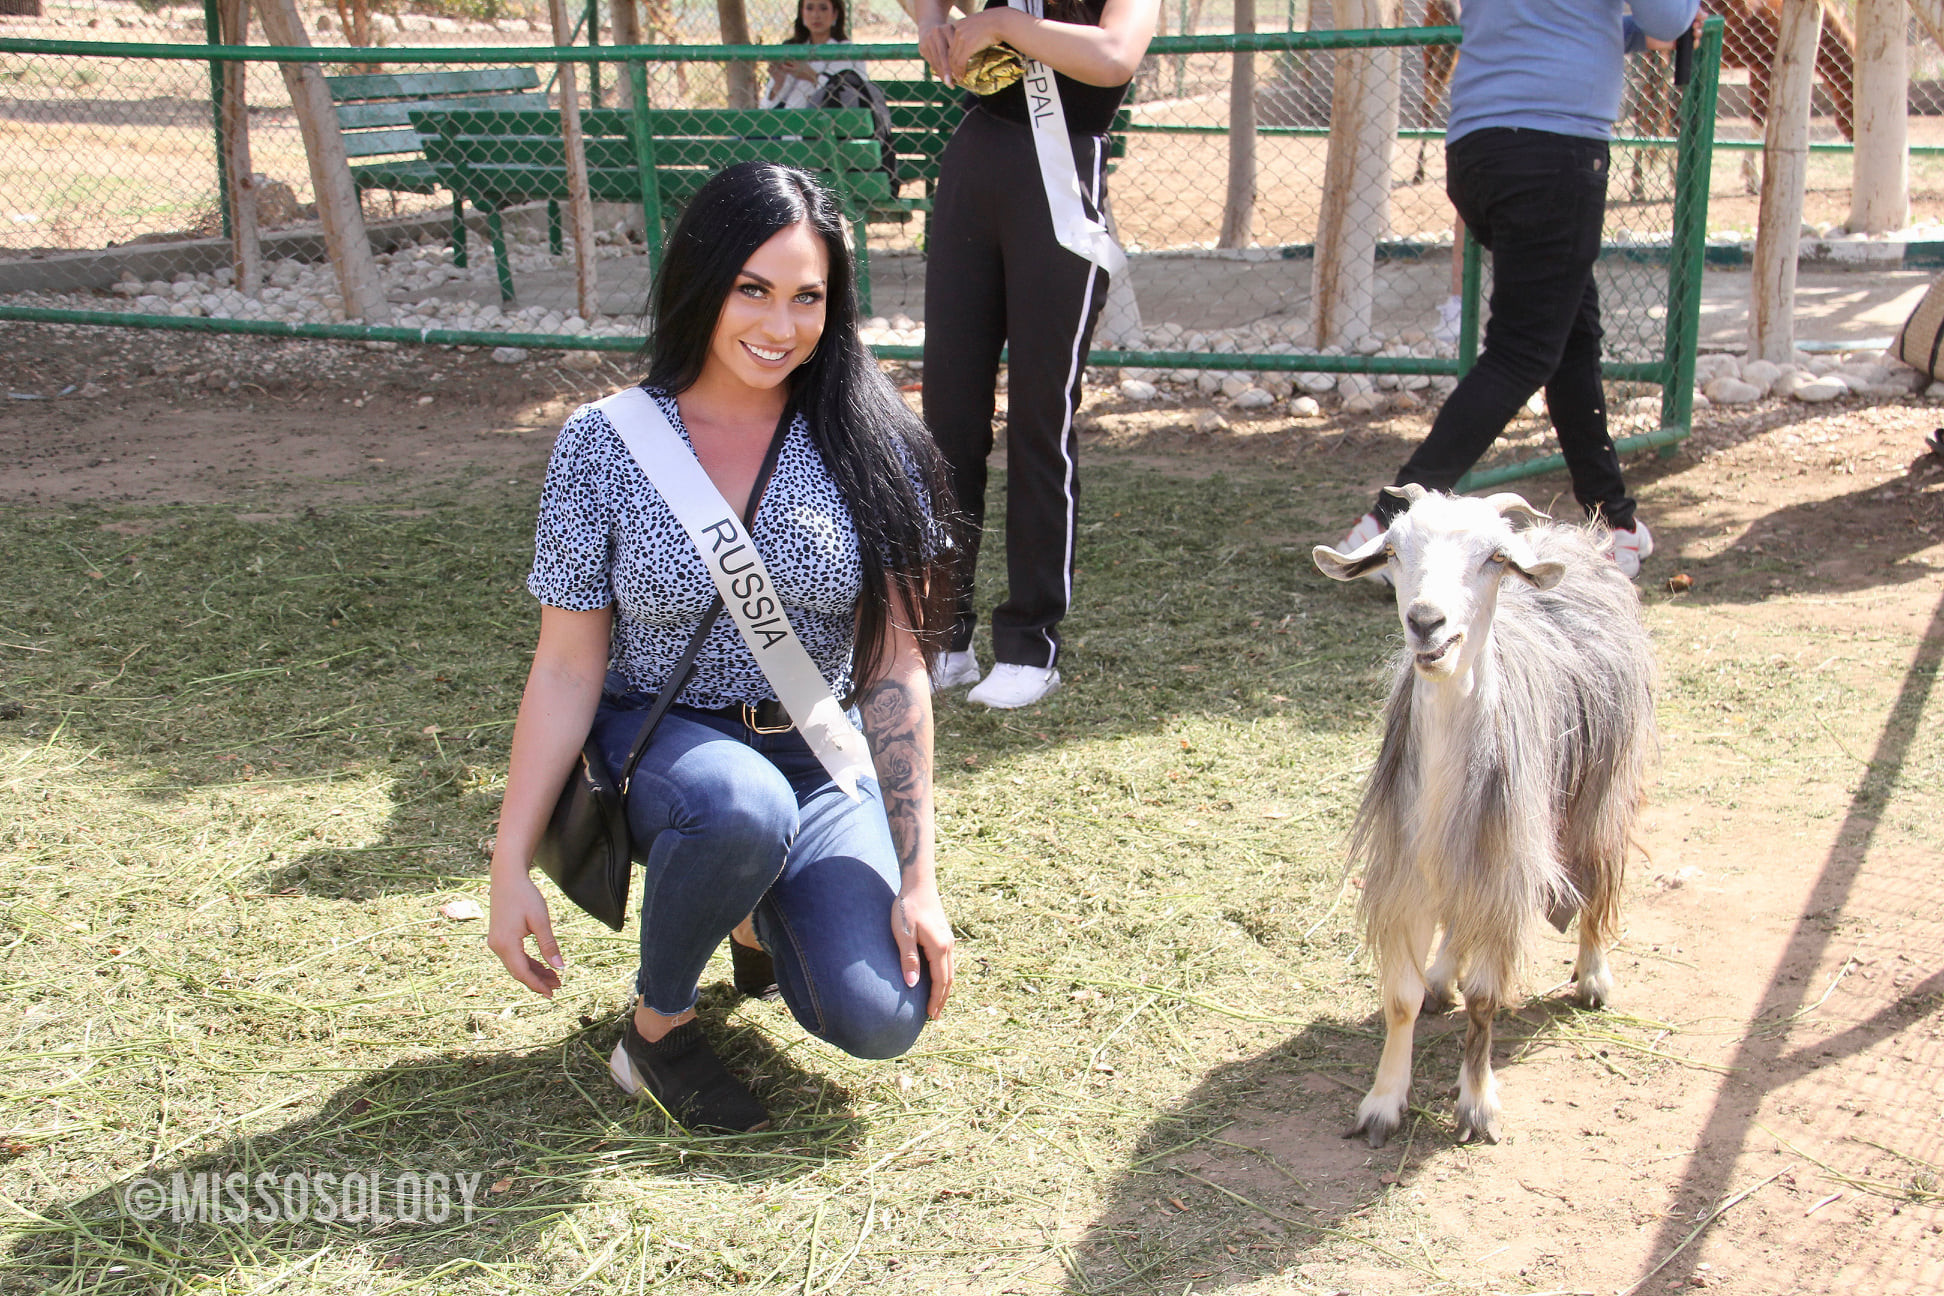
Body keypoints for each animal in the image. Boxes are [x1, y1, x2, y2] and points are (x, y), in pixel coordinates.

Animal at [1314, 485, 1648, 1142]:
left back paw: (1594, 976)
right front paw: (1383, 1104)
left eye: (1495, 557)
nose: (1425, 621)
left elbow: (1486, 1001)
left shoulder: (1505, 873)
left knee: (1599, 874)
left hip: (1601, 786)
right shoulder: (1408, 877)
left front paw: (1477, 1107)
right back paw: (1444, 974)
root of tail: (1572, 537)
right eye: (1394, 550)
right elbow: (1401, 999)